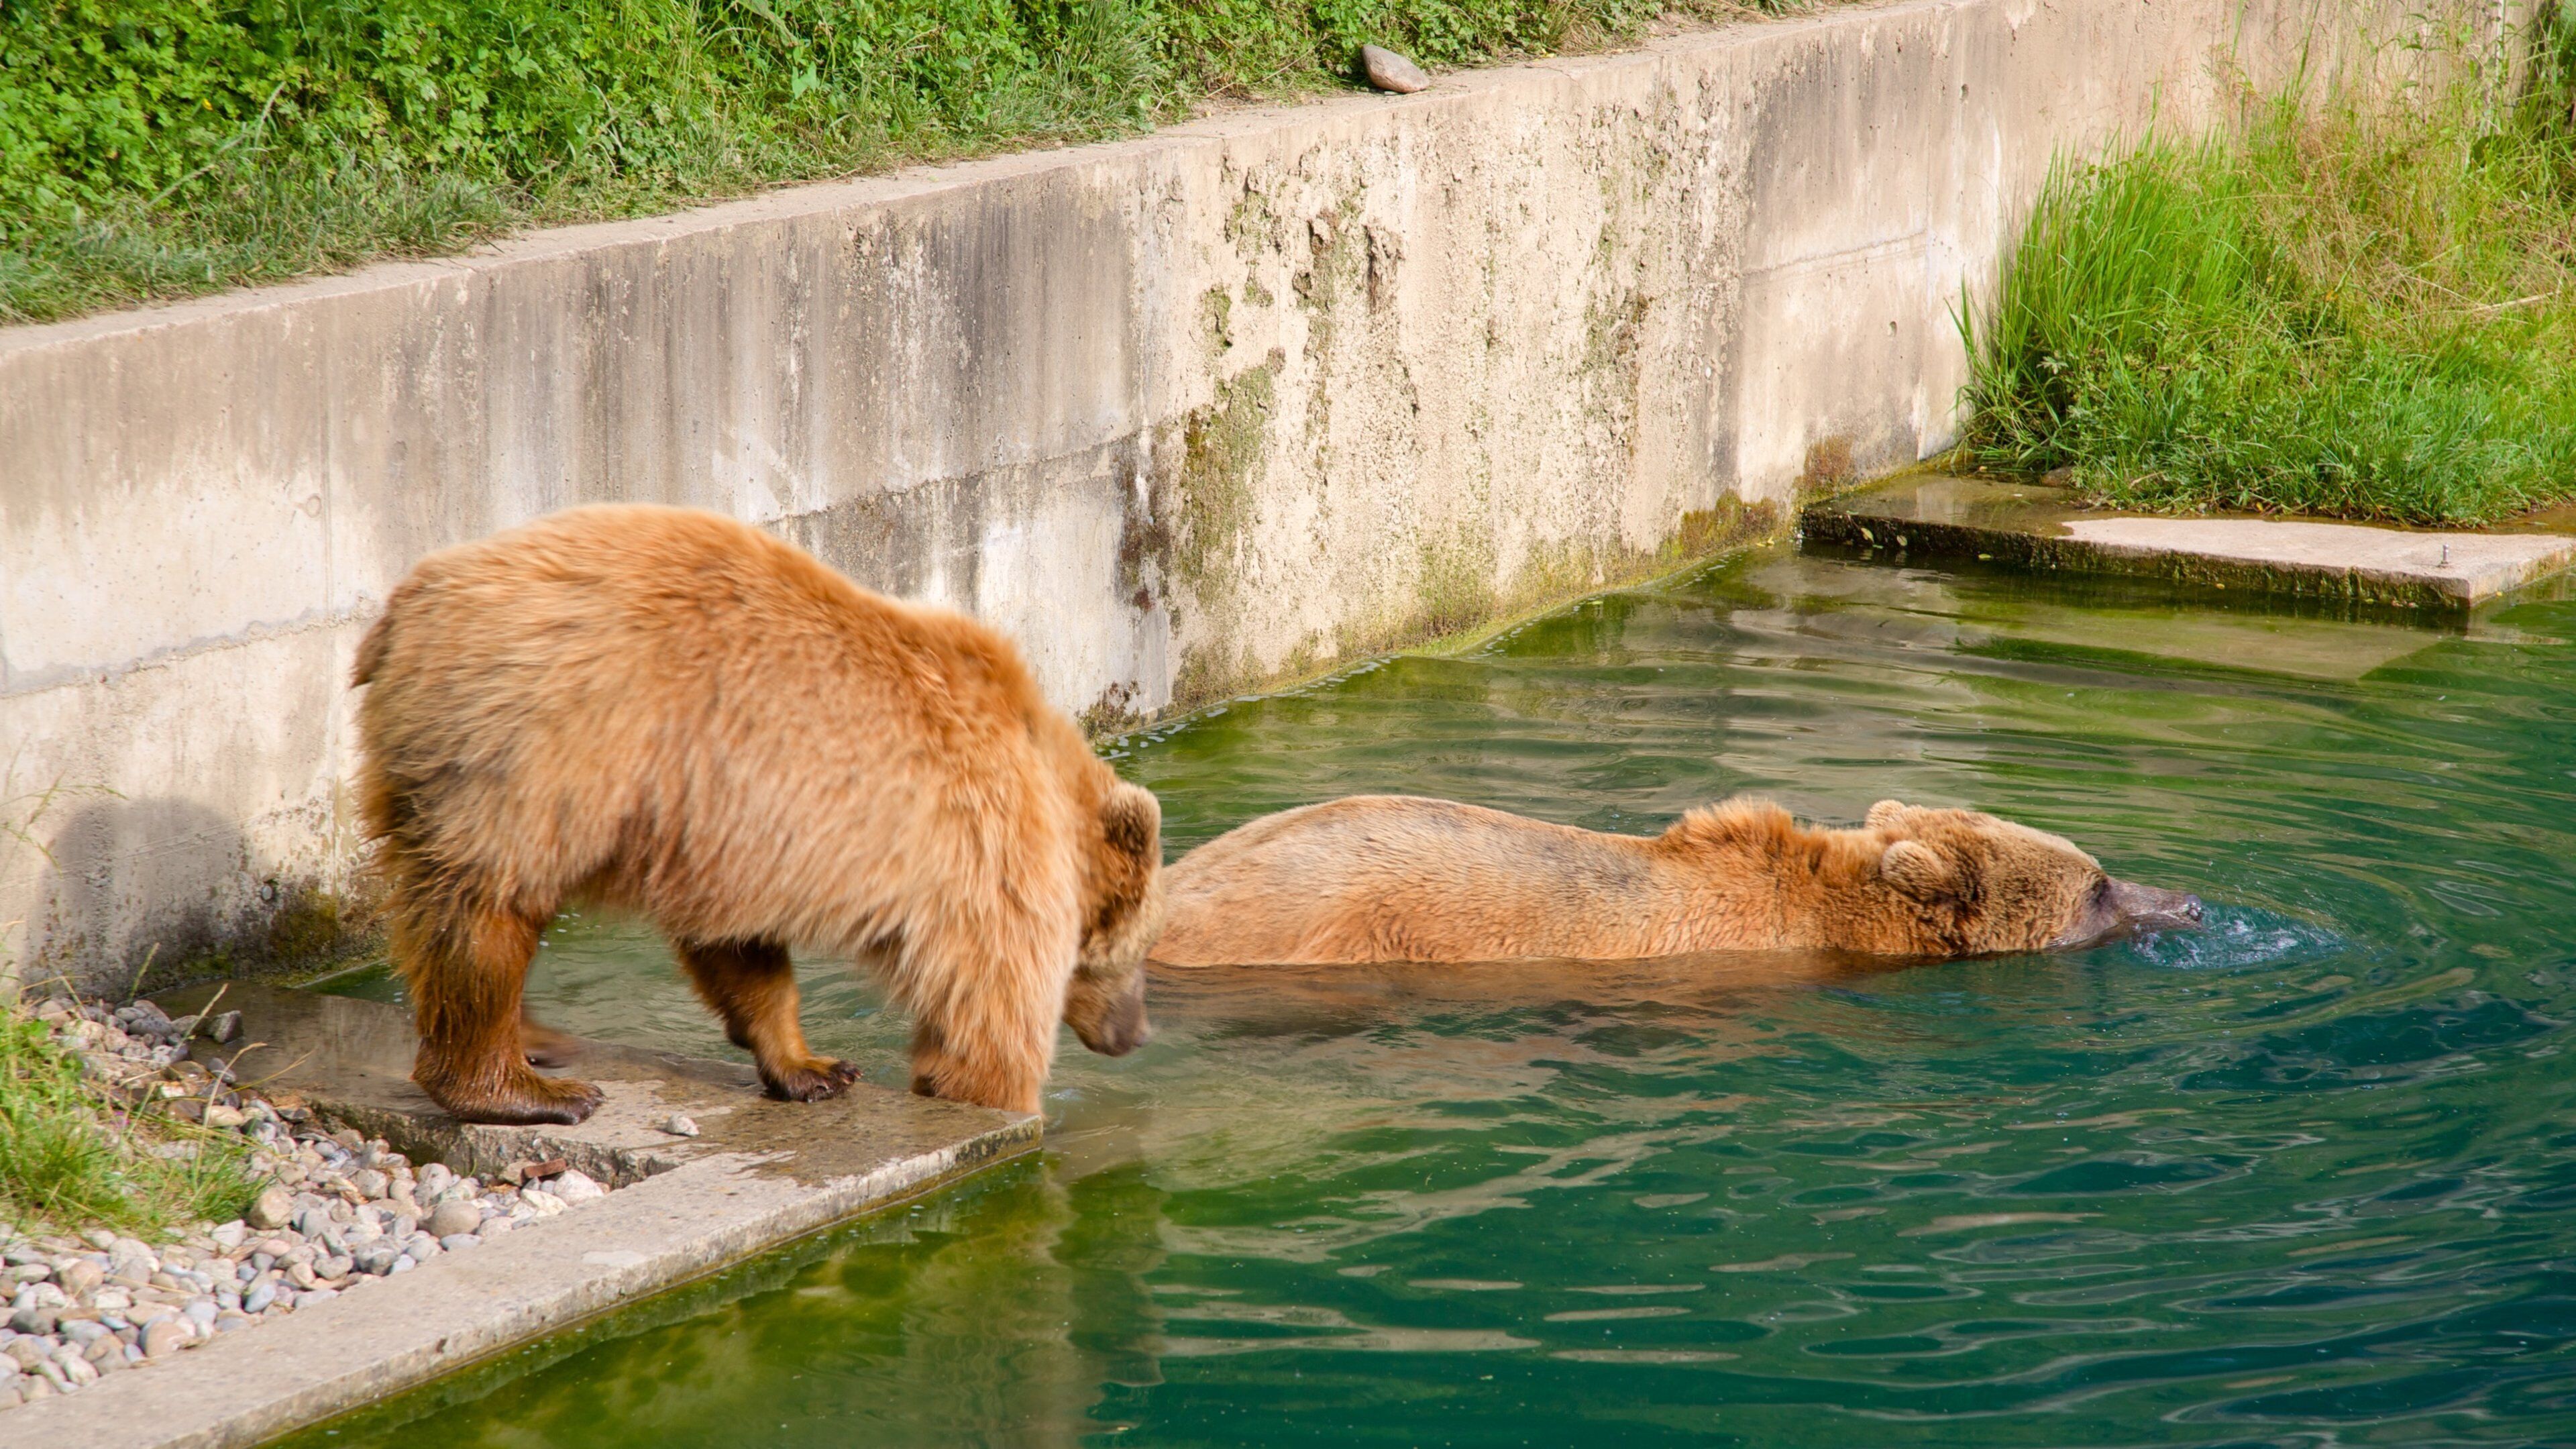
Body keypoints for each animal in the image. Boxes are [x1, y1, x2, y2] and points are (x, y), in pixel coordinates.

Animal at [351, 504, 1165, 1124]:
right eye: (1139, 952)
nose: (1135, 1033)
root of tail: (401, 612)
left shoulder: (728, 827)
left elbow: (741, 953)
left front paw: (814, 1067)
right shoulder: (984, 853)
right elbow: (986, 1013)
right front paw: (995, 1100)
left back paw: (540, 1038)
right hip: (540, 749)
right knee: (487, 916)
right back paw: (525, 1089)